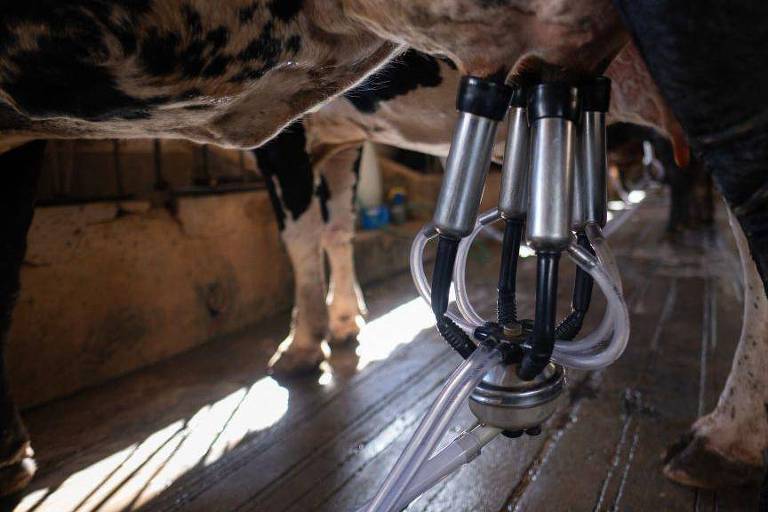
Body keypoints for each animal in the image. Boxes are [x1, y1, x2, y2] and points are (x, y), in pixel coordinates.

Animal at [0, 0, 764, 500]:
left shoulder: (286, 136)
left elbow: (299, 234)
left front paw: (302, 344)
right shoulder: (338, 136)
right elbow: (336, 227)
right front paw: (345, 323)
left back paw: (723, 441)